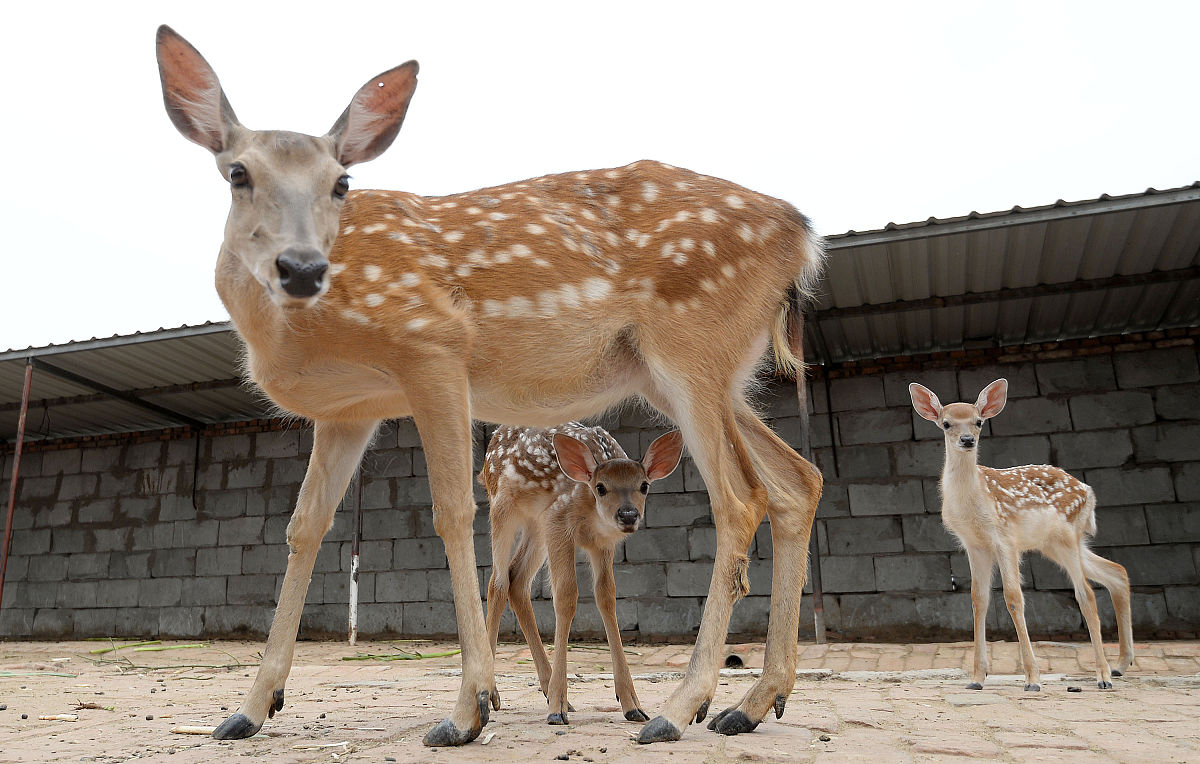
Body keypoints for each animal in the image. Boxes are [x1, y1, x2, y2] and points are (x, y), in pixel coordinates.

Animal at [154, 25, 825, 743]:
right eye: (238, 173)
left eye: (342, 182)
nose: (301, 267)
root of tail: (801, 237)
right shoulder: (348, 408)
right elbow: (305, 526)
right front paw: (248, 709)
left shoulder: (433, 348)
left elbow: (452, 513)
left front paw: (465, 712)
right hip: (699, 375)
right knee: (796, 482)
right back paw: (749, 704)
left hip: (691, 348)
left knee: (741, 501)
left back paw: (677, 709)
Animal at [907, 379, 1132, 690]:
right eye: (946, 423)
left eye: (979, 421)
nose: (968, 440)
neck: (974, 500)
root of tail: (1088, 491)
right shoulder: (974, 545)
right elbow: (978, 600)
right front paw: (977, 678)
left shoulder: (1004, 538)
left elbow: (1014, 598)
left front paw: (1032, 678)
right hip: (1054, 544)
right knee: (1116, 571)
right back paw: (1121, 664)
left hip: (1068, 536)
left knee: (1086, 594)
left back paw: (1104, 676)